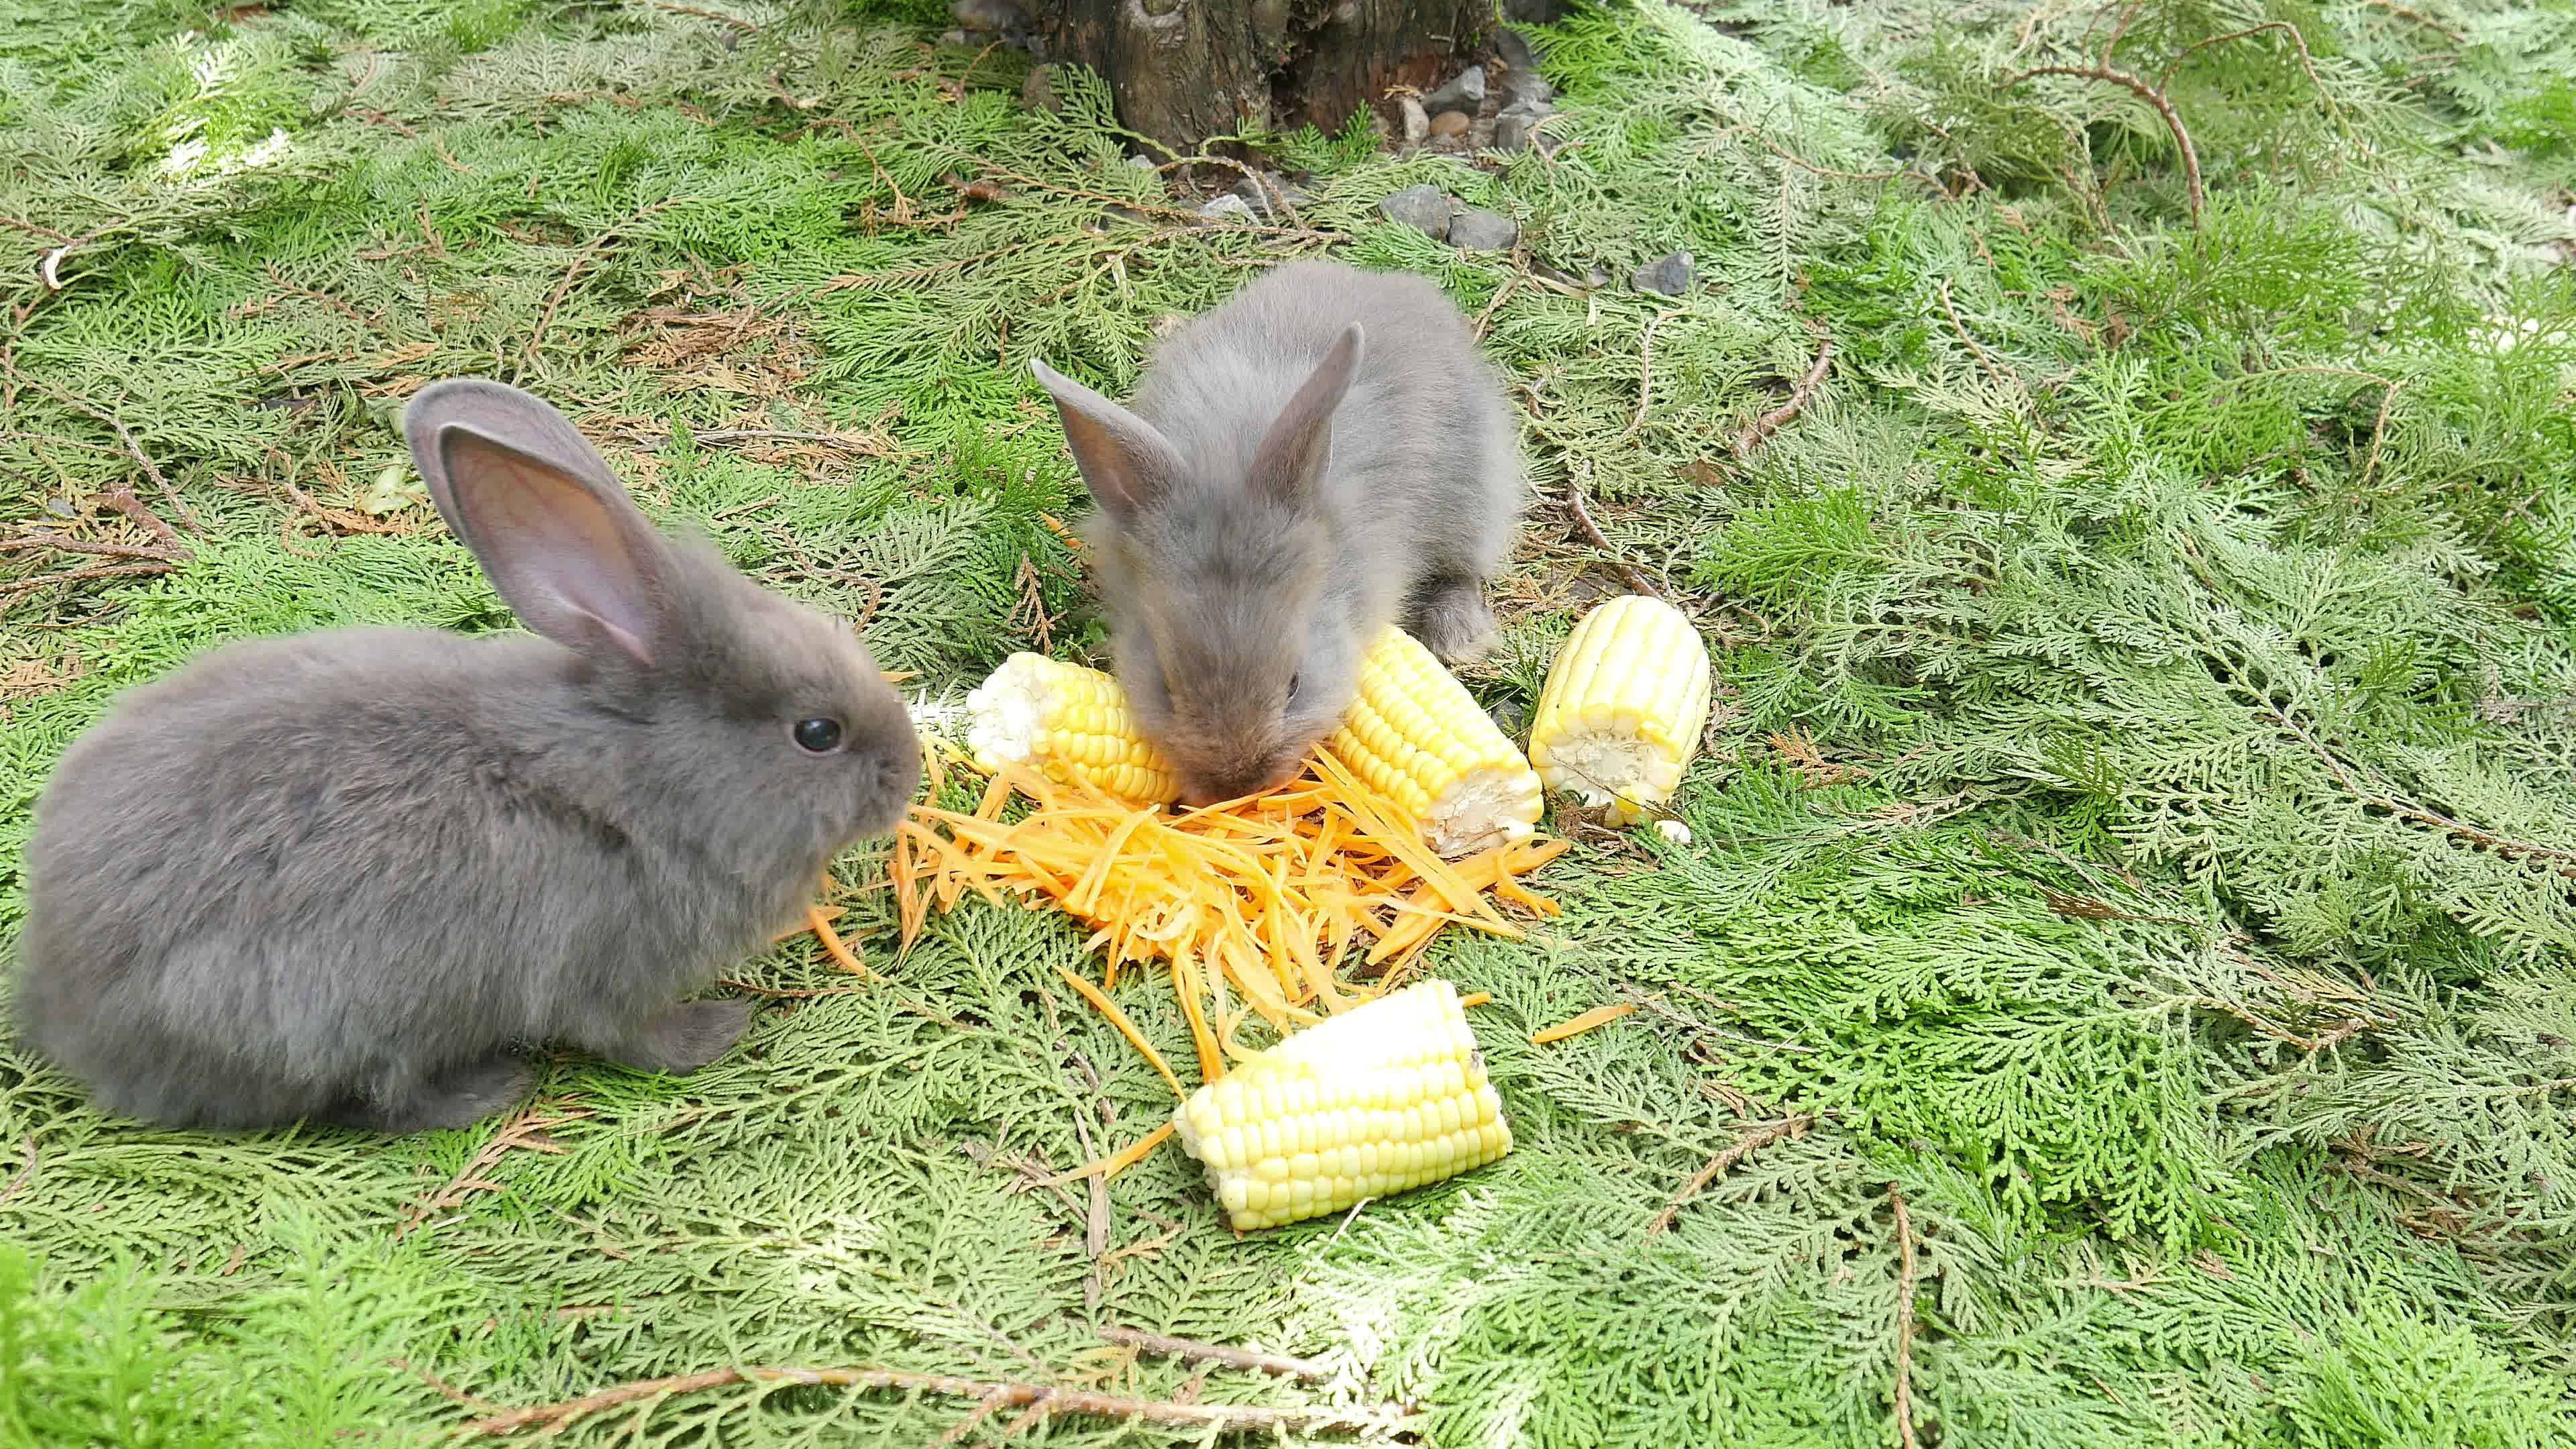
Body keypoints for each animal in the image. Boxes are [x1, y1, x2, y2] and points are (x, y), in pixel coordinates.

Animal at [9, 379, 921, 1134]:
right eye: (818, 733)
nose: (907, 776)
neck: (644, 778)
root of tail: (61, 1007)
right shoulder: (605, 966)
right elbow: (631, 1036)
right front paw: (717, 1031)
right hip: (323, 1012)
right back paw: (486, 1089)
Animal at [1029, 259, 1526, 807]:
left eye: (1294, 684)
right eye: (1166, 687)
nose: (1238, 785)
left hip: (1474, 492)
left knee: (1464, 566)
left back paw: (1459, 636)